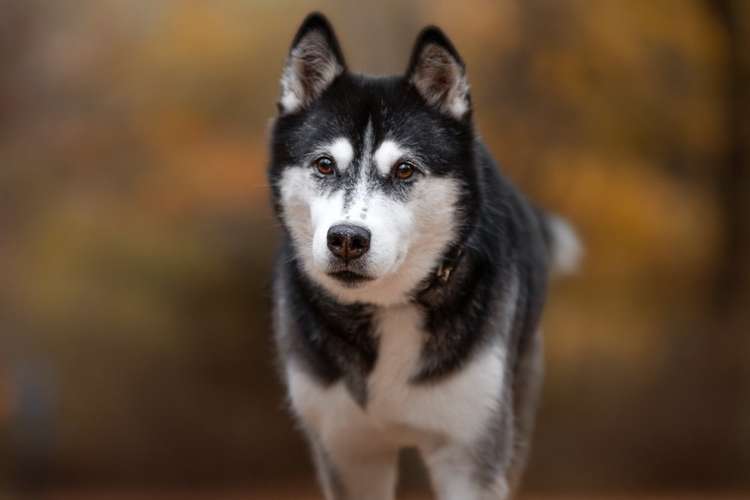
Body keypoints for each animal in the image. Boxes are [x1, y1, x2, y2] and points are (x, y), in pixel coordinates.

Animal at [268, 12, 580, 500]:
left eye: (404, 170)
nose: (347, 239)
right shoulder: (347, 452)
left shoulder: (470, 456)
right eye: (324, 165)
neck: (389, 308)